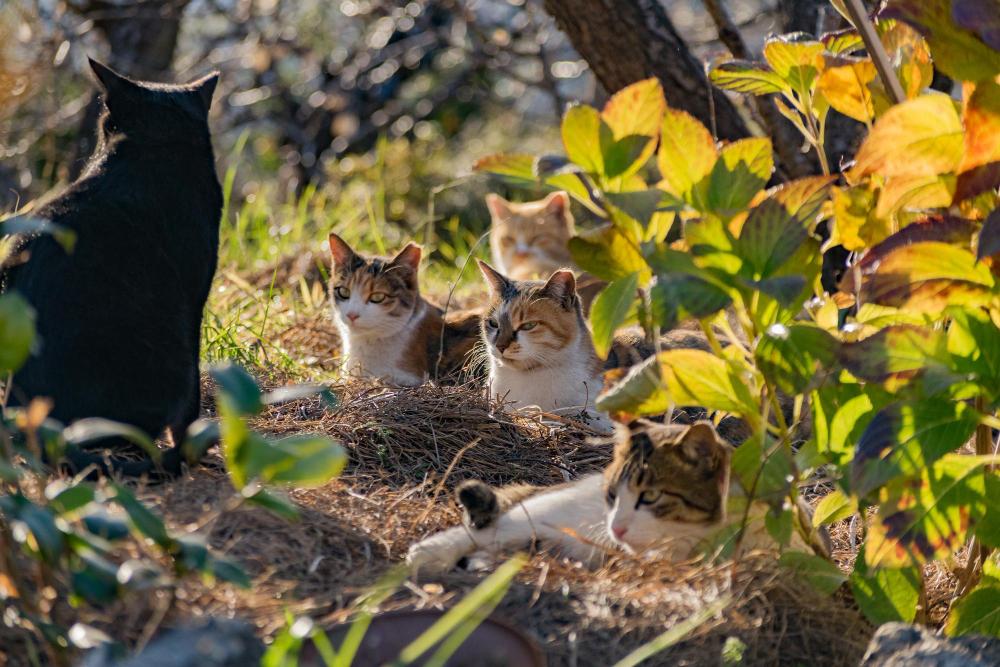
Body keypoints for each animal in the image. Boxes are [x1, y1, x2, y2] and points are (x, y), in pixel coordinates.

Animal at [406, 422, 828, 576]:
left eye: (652, 496)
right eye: (612, 495)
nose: (616, 528)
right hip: (541, 514)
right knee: (487, 527)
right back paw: (427, 554)